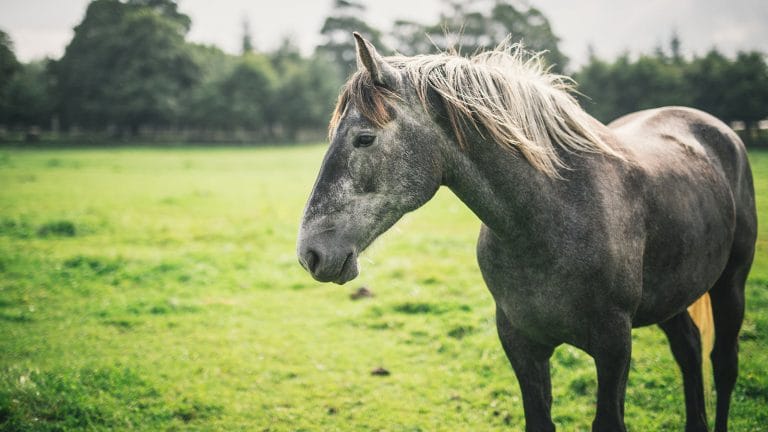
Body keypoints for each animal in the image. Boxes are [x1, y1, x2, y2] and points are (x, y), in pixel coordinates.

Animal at [296, 33, 756, 432]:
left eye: (364, 138)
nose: (310, 253)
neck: (552, 219)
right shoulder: (520, 342)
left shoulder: (614, 345)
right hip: (673, 295)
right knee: (690, 351)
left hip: (731, 282)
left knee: (723, 363)